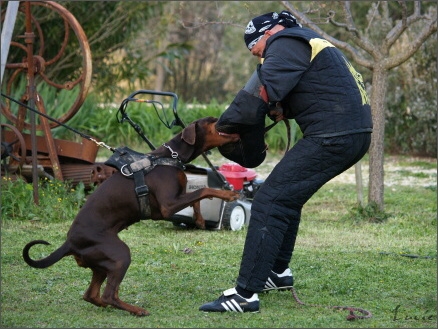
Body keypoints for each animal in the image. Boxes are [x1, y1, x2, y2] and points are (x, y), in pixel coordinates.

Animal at [22, 117, 241, 316]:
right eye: (212, 120)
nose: (230, 121)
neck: (171, 156)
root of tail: (69, 243)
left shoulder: (173, 201)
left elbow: (196, 198)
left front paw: (200, 220)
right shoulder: (167, 206)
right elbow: (203, 190)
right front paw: (228, 195)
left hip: (102, 264)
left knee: (92, 295)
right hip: (120, 255)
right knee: (108, 295)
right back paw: (136, 310)